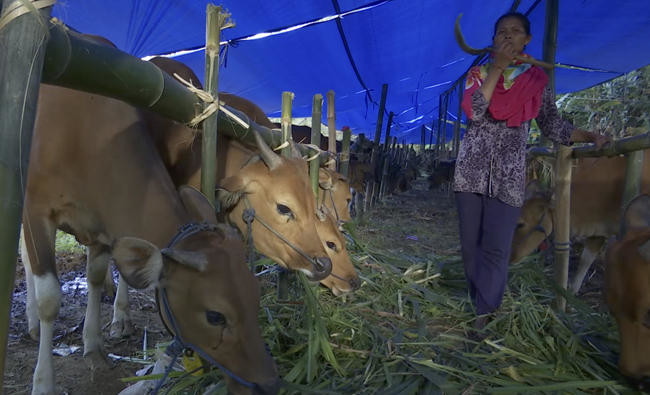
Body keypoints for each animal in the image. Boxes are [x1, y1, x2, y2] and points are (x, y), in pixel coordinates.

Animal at [21, 83, 276, 392]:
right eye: (215, 316)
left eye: (255, 295)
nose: (268, 384)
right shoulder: (35, 209)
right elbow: (49, 299)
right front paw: (43, 383)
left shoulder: (101, 224)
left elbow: (95, 276)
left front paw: (93, 347)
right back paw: (32, 321)